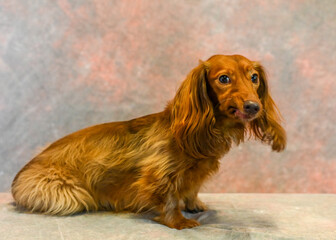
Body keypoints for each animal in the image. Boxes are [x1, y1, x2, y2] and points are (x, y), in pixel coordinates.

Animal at [12, 54, 286, 229]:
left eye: (254, 77)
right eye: (224, 79)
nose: (254, 106)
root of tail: (20, 175)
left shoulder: (195, 175)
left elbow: (191, 190)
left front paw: (195, 205)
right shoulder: (159, 175)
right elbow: (169, 199)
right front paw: (179, 222)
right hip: (72, 194)